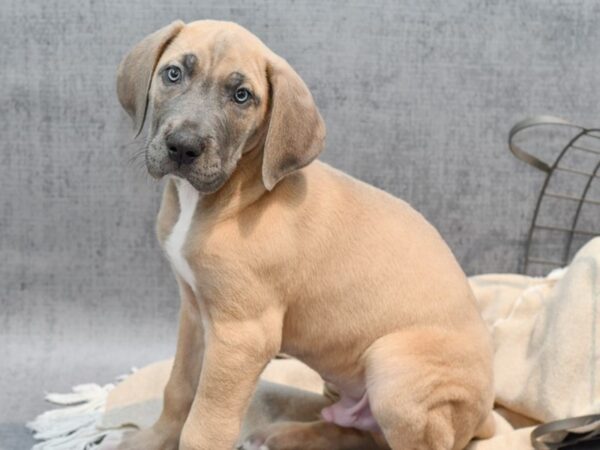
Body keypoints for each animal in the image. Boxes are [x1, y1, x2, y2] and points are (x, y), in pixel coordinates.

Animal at [115, 19, 494, 448]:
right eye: (173, 73)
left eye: (242, 96)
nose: (183, 146)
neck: (225, 198)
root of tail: (485, 418)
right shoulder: (194, 313)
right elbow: (178, 386)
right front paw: (153, 438)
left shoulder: (243, 336)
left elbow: (206, 424)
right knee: (354, 430)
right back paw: (283, 435)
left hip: (393, 370)